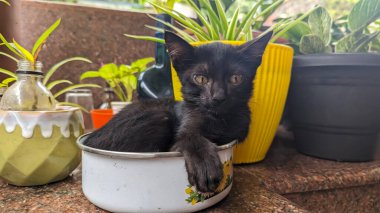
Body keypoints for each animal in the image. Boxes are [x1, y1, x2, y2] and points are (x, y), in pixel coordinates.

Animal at [84, 31, 272, 193]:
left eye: (236, 78)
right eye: (200, 78)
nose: (218, 97)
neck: (218, 120)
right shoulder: (179, 136)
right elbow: (191, 138)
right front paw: (204, 165)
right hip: (159, 116)